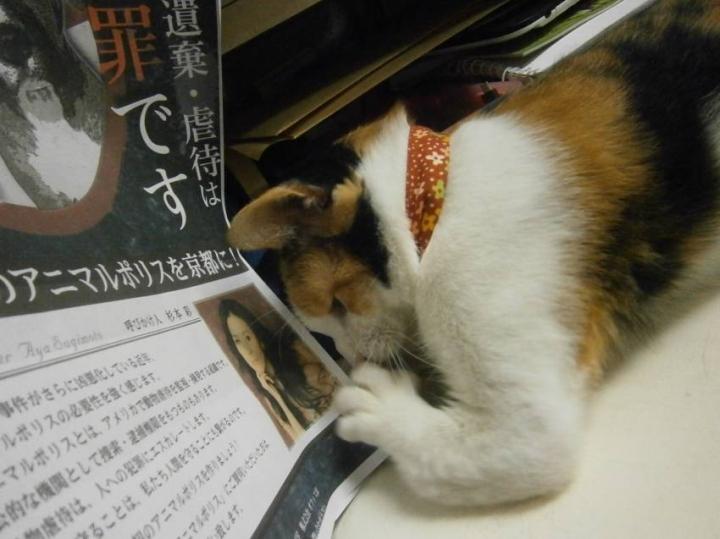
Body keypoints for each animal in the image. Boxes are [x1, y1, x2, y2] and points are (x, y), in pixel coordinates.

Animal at [227, 0, 720, 507]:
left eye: (337, 305)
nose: (349, 356)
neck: (434, 199)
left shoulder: (517, 408)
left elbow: (486, 452)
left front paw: (378, 404)